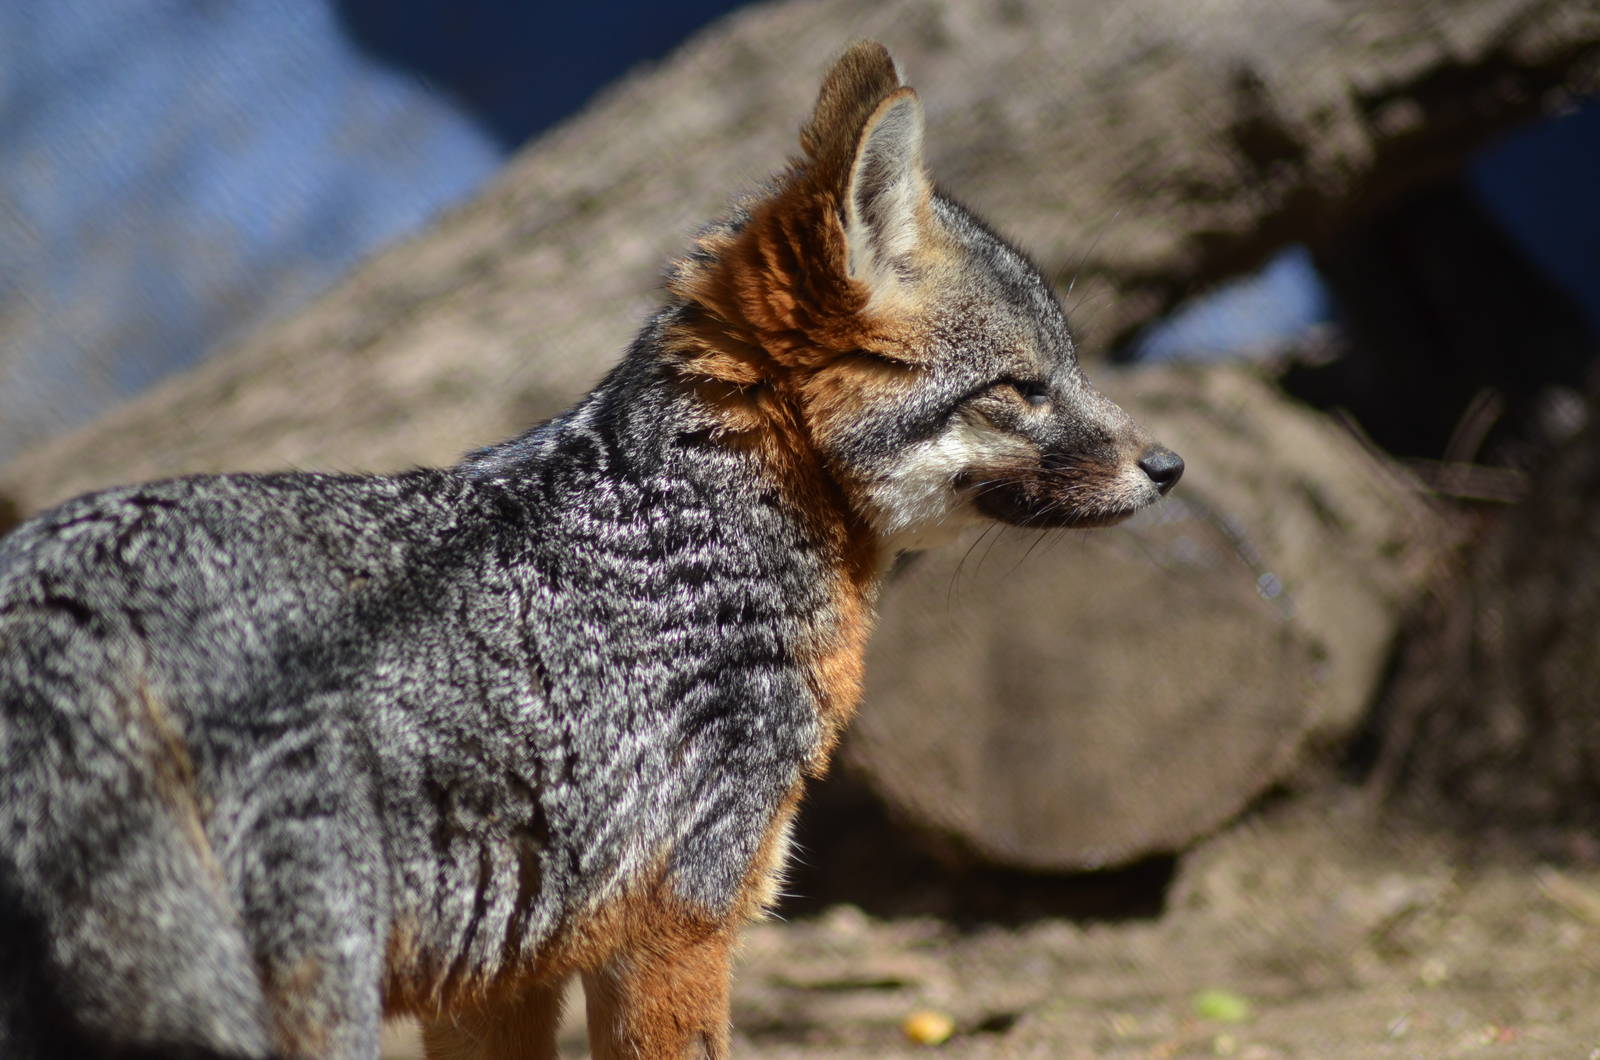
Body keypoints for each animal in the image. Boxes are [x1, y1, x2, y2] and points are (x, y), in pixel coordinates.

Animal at [0, 41, 1181, 1060]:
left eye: (1069, 370)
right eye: (1023, 387)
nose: (1168, 466)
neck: (697, 515)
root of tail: (64, 585)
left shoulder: (498, 979)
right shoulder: (678, 931)